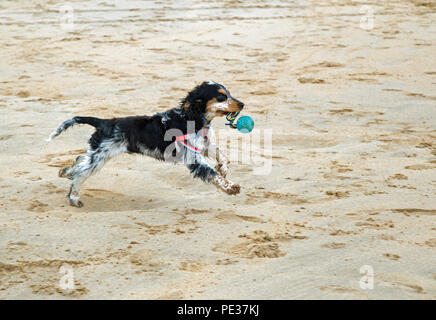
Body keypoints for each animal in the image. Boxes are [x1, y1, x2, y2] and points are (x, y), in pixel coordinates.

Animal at [48, 80, 245, 208]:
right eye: (221, 97)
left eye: (228, 93)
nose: (242, 104)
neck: (192, 118)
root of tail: (104, 122)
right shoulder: (193, 158)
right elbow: (212, 173)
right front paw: (231, 187)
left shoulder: (204, 146)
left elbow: (223, 156)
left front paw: (224, 170)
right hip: (99, 157)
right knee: (80, 175)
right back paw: (74, 198)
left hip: (99, 154)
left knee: (80, 159)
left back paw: (65, 172)